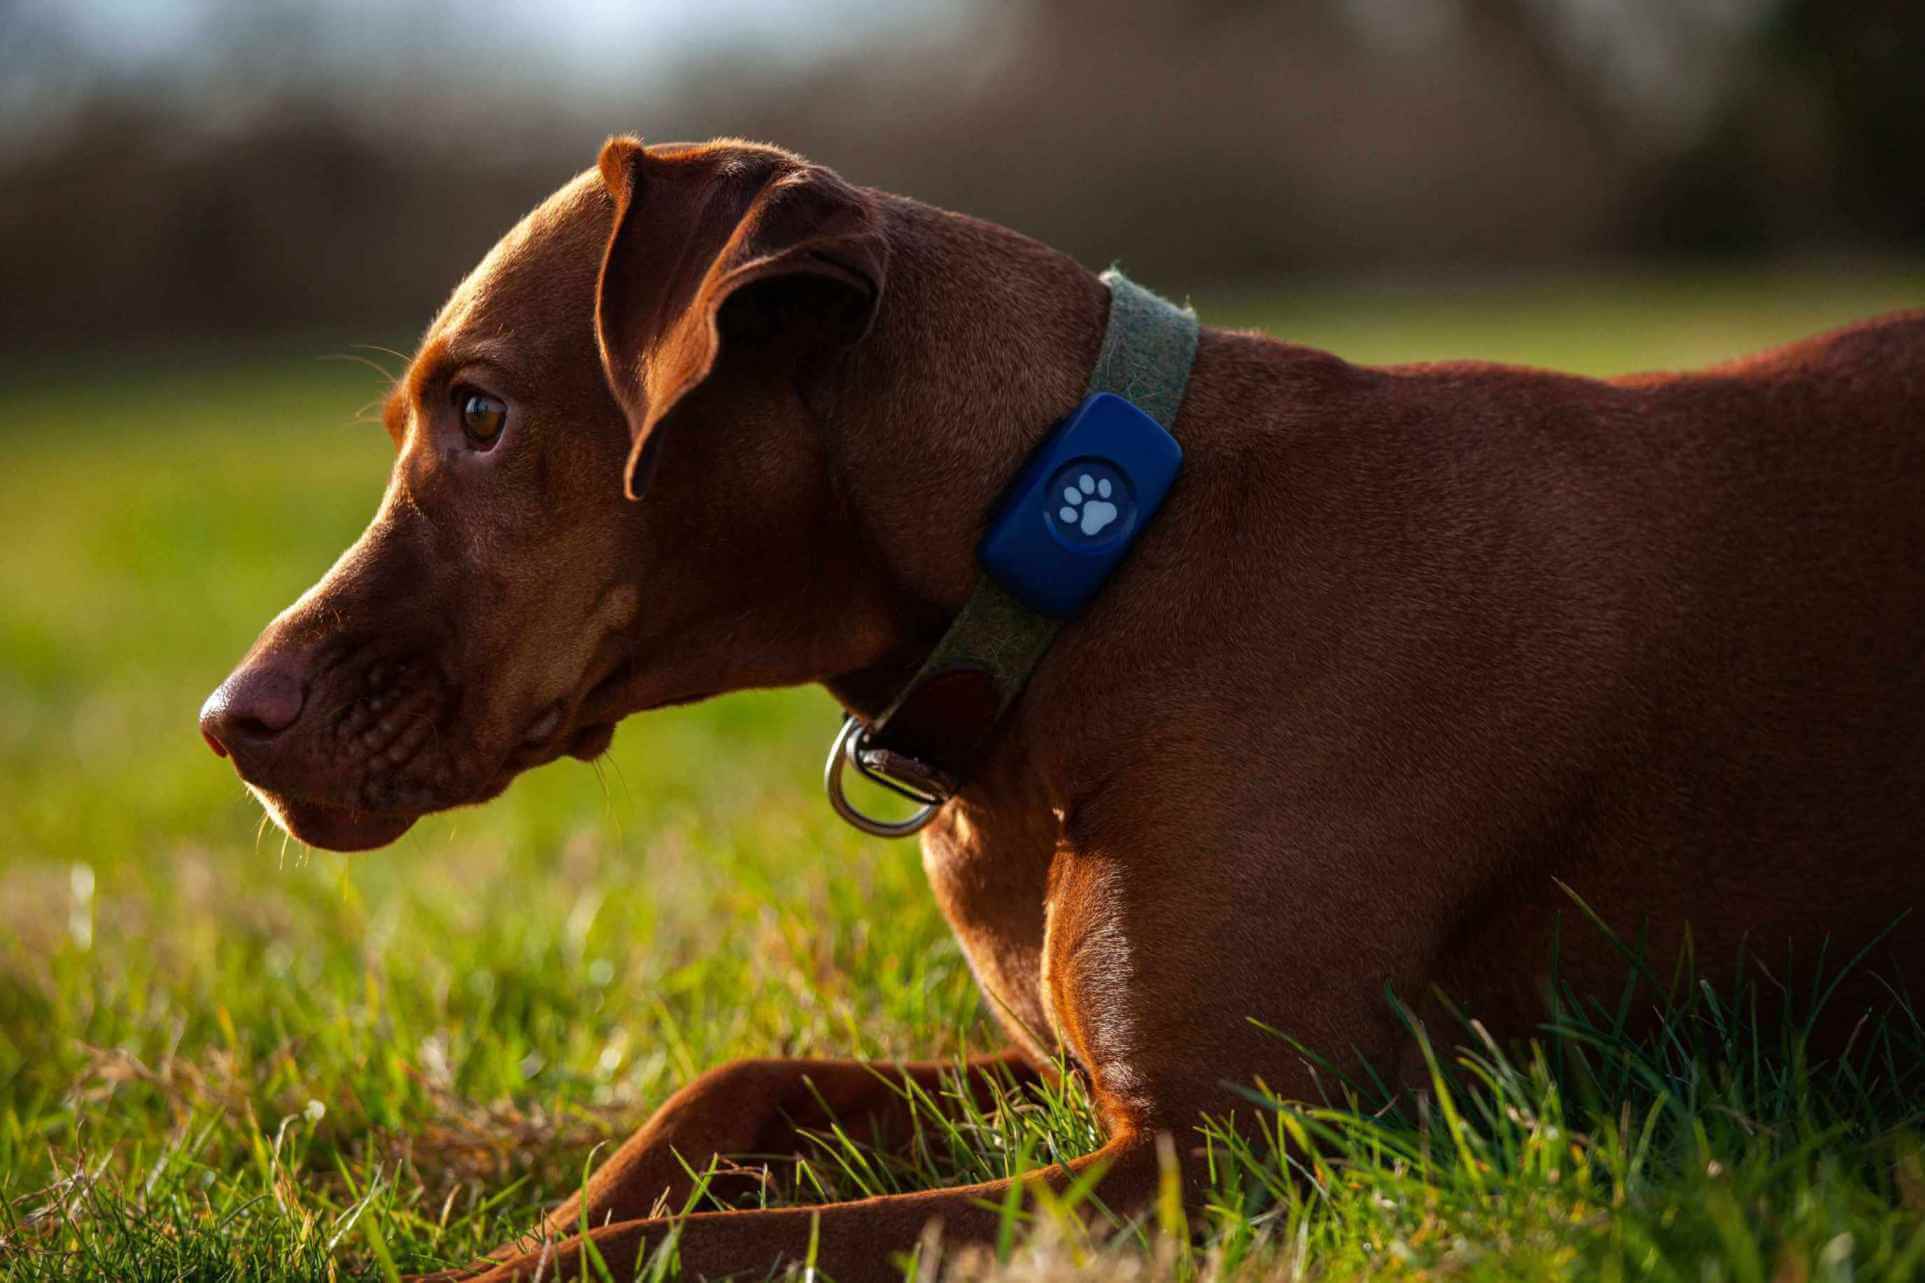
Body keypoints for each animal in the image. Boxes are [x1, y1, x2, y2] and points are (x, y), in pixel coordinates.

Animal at [199, 134, 1925, 1271]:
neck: (1087, 565)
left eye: (481, 412)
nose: (229, 720)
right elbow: (733, 1085)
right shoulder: (1072, 1079)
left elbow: (732, 1242)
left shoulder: (1223, 1146)